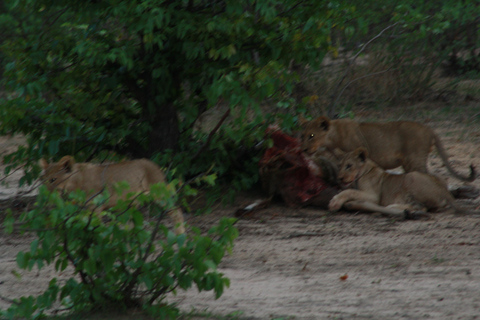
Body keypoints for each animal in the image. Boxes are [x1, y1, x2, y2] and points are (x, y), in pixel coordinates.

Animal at [39, 156, 185, 234]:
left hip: (160, 195)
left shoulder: (95, 207)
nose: (45, 194)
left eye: (53, 180)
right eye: (43, 180)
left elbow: (96, 227)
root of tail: (154, 164)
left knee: (177, 211)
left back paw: (180, 235)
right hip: (129, 204)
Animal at [302, 115, 474, 181]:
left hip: (415, 159)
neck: (332, 139)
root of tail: (429, 129)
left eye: (312, 135)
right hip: (408, 163)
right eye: (303, 135)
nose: (304, 149)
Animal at [326, 146, 462, 216]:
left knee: (422, 207)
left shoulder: (373, 196)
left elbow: (349, 191)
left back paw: (394, 206)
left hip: (411, 177)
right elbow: (349, 190)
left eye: (349, 166)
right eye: (339, 165)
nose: (339, 178)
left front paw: (335, 202)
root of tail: (444, 190)